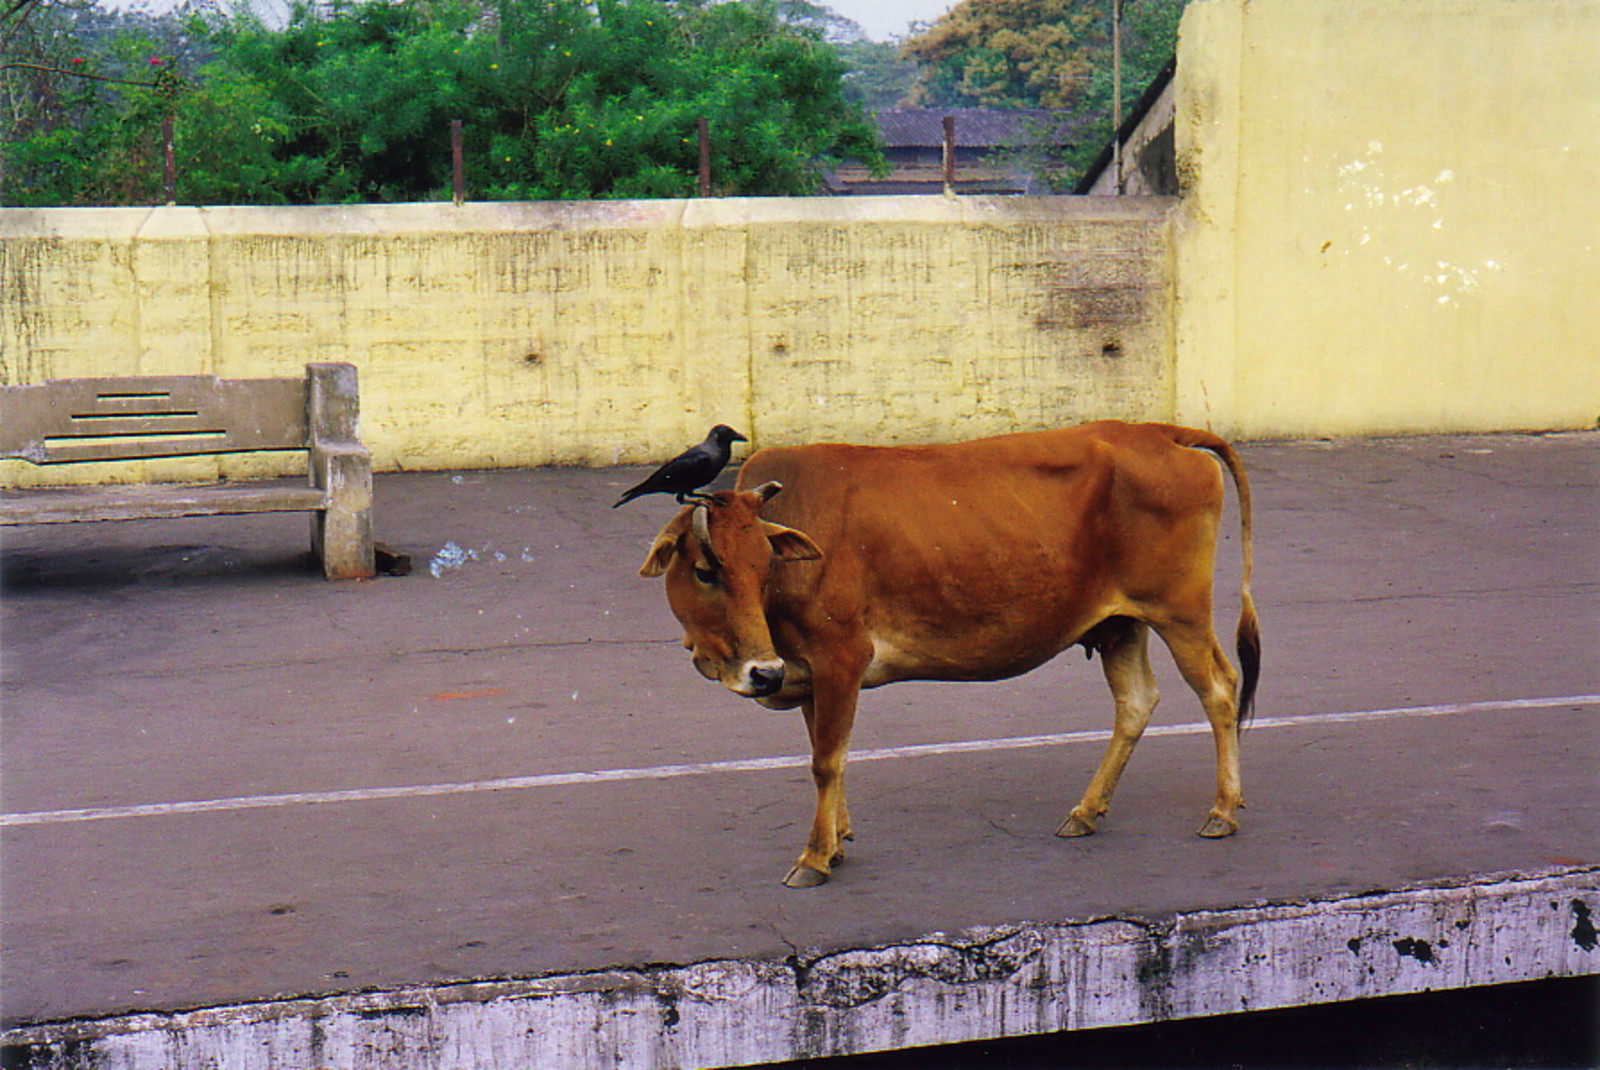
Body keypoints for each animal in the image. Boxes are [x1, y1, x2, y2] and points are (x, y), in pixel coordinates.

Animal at [640, 422, 1260, 882]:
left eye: (766, 564)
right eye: (705, 570)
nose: (762, 673)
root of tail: (1161, 432)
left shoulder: (840, 657)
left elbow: (825, 761)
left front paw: (814, 857)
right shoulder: (808, 670)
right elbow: (828, 753)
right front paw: (836, 841)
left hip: (1180, 614)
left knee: (1219, 690)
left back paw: (1223, 809)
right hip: (1121, 624)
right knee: (1136, 702)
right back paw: (1086, 812)